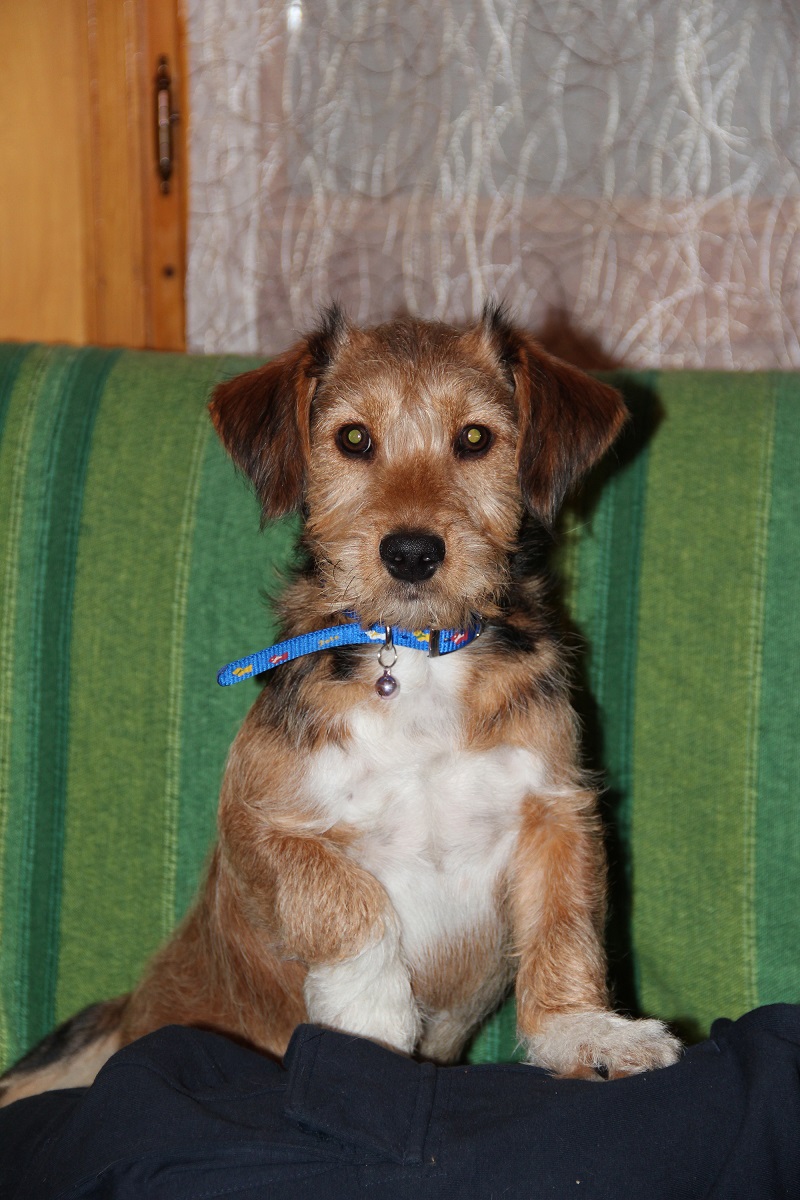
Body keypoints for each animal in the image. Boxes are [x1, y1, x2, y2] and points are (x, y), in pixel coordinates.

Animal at [1, 304, 681, 1105]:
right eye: (353, 439)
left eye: (475, 439)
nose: (412, 553)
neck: (416, 659)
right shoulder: (263, 825)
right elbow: (349, 902)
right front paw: (370, 1021)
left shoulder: (557, 811)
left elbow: (564, 932)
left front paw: (584, 1033)